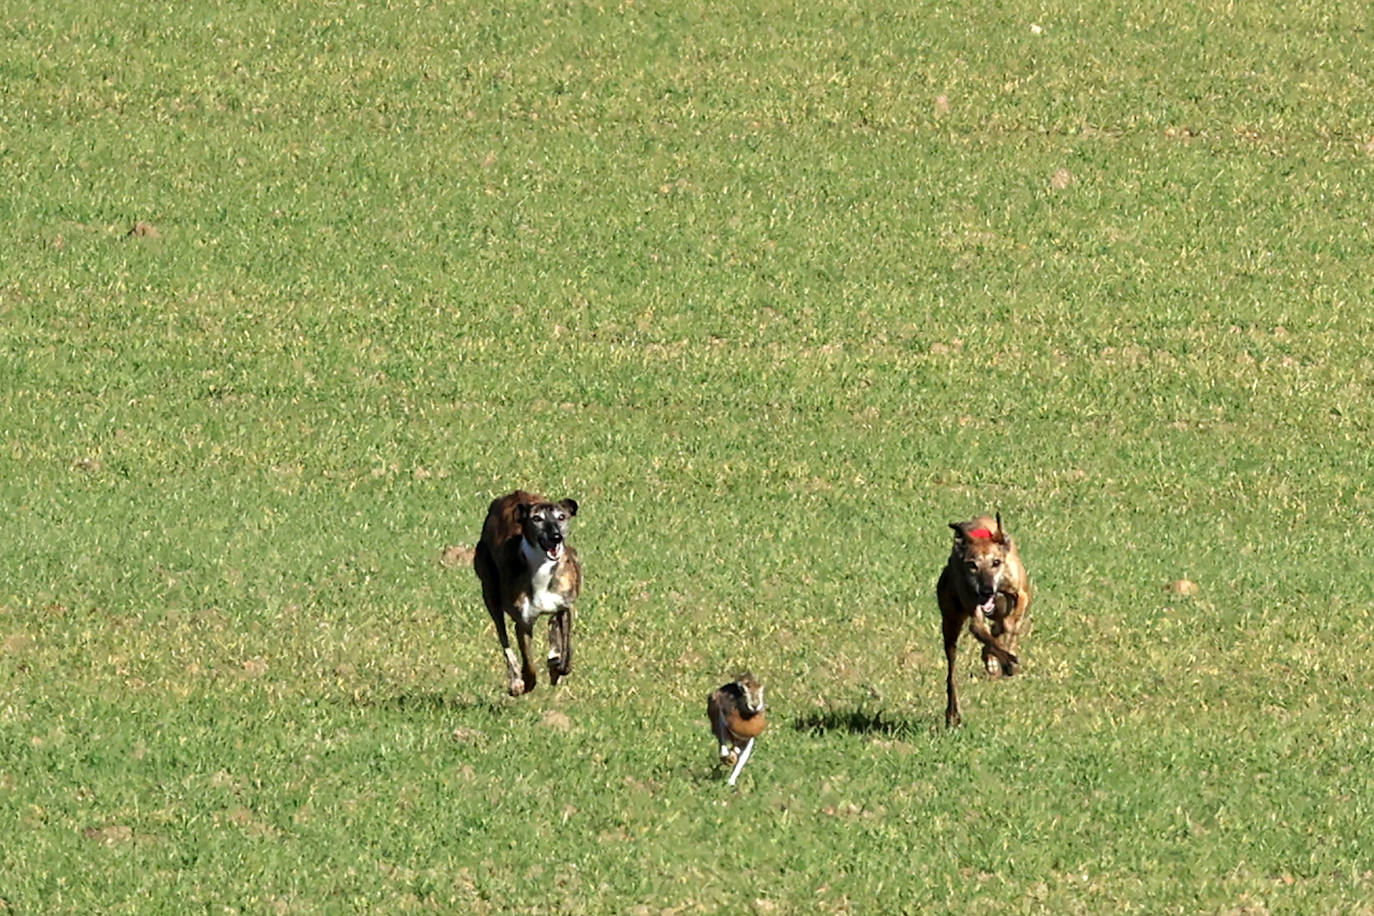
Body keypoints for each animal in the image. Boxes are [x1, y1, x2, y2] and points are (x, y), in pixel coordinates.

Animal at [472, 494, 579, 694]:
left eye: (562, 517)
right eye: (537, 518)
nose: (556, 537)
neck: (542, 568)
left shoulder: (565, 608)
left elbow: (566, 657)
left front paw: (556, 665)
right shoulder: (523, 623)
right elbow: (529, 666)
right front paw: (526, 682)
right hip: (490, 592)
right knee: (504, 639)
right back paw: (516, 680)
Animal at [934, 513, 1033, 725]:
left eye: (996, 562)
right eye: (972, 565)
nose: (986, 590)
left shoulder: (1021, 593)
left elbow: (1010, 624)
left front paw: (1004, 657)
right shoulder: (974, 609)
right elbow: (981, 629)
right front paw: (1005, 661)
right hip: (950, 621)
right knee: (951, 672)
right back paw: (952, 714)